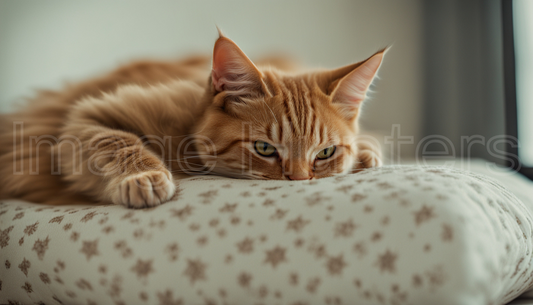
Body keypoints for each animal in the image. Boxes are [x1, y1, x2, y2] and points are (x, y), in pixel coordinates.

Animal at [0, 32, 384, 208]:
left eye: (325, 153)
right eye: (264, 148)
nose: (299, 180)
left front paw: (366, 152)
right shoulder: (81, 119)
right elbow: (118, 141)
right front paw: (143, 177)